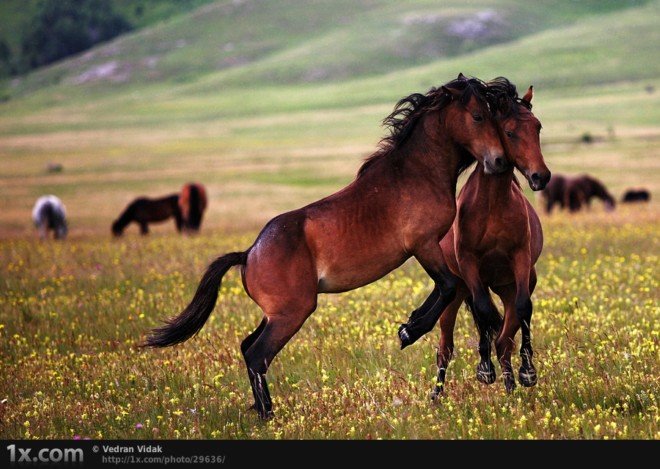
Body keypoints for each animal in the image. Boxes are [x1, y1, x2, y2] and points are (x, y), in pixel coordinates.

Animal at [143, 75, 506, 418]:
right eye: (478, 115)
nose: (499, 160)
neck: (417, 172)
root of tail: (248, 254)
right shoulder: (424, 245)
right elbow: (447, 286)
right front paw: (409, 331)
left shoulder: (429, 249)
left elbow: (447, 286)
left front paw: (410, 324)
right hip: (292, 312)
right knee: (258, 355)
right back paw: (268, 416)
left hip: (275, 313)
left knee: (247, 348)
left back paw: (263, 410)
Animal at [400, 80, 548, 394]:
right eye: (509, 131)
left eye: (537, 127)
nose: (541, 176)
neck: (493, 205)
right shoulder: (469, 263)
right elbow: (484, 313)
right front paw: (485, 368)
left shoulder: (520, 259)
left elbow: (520, 311)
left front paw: (526, 372)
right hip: (457, 294)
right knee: (447, 346)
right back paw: (440, 393)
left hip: (509, 283)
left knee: (508, 328)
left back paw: (509, 379)